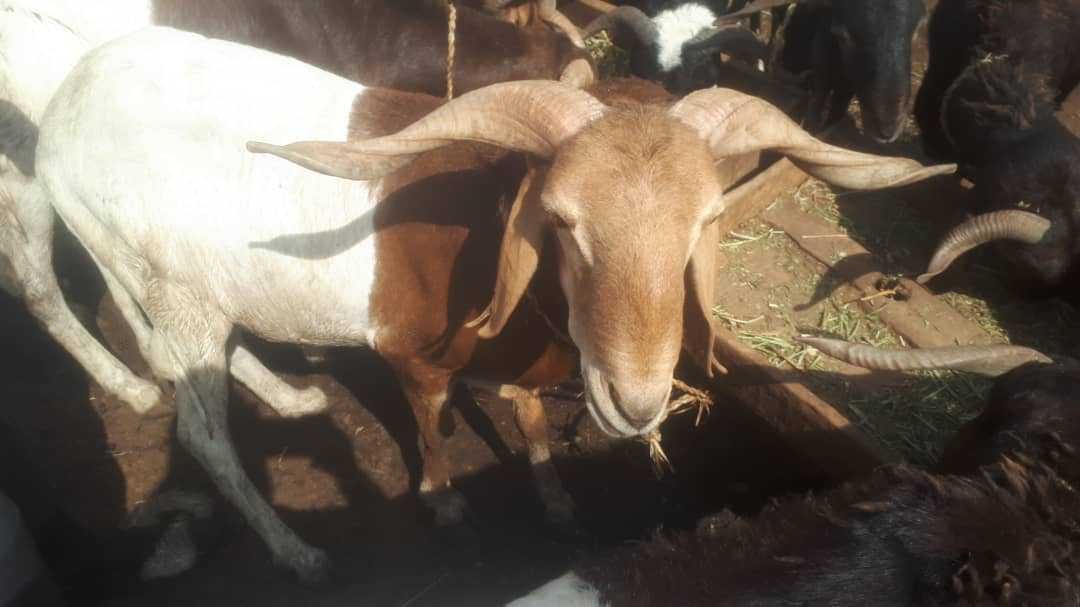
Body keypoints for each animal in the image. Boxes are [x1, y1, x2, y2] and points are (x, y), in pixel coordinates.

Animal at [34, 26, 952, 580]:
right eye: (563, 220)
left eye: (704, 221)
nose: (637, 402)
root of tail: (64, 109)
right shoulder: (410, 352)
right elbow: (432, 421)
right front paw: (445, 503)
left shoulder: (524, 362)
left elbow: (531, 418)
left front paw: (557, 500)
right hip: (174, 292)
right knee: (201, 430)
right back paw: (297, 550)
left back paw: (290, 395)